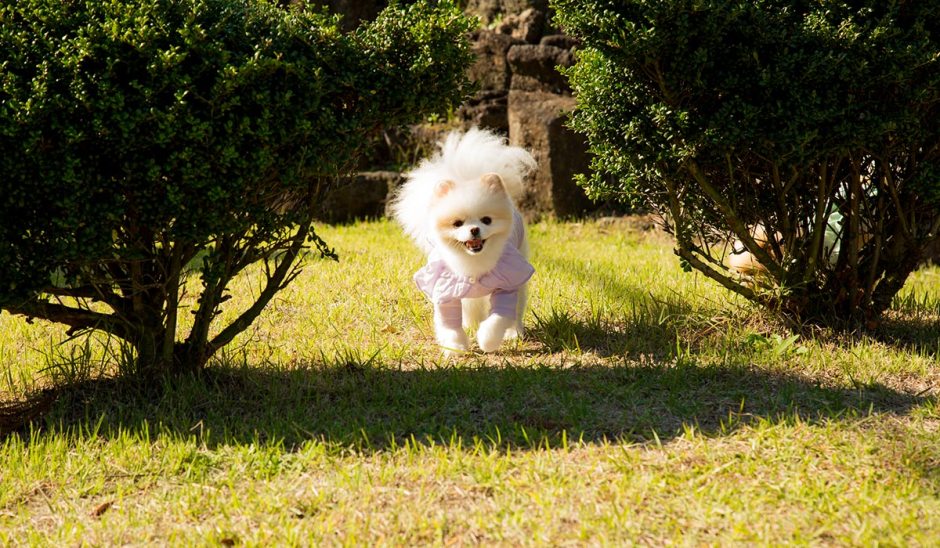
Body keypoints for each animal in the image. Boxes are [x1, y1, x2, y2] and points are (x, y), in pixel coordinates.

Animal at [390, 128, 536, 354]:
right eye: (457, 223)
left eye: (487, 220)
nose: (474, 229)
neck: (474, 264)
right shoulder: (446, 289)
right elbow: (449, 323)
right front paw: (455, 347)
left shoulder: (507, 283)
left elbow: (498, 317)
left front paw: (487, 341)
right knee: (470, 307)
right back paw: (470, 324)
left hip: (519, 274)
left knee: (517, 308)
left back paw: (514, 332)